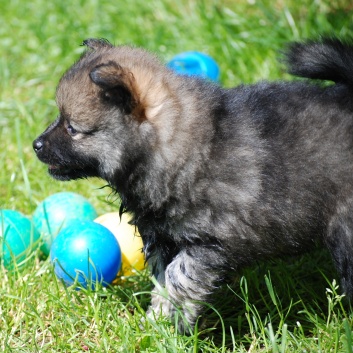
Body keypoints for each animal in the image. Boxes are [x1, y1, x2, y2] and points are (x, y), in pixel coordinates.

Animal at [33, 37, 353, 330]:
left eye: (72, 128)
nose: (36, 144)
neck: (170, 148)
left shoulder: (208, 241)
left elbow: (179, 278)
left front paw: (172, 325)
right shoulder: (163, 238)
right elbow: (163, 281)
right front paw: (157, 322)